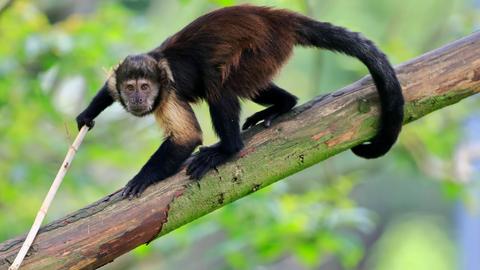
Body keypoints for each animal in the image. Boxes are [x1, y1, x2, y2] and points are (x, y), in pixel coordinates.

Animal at [77, 4, 404, 198]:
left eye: (145, 87)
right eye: (130, 87)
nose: (137, 98)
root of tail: (278, 17)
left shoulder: (167, 92)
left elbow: (187, 137)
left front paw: (142, 178)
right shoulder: (122, 77)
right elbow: (107, 89)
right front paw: (86, 115)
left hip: (264, 47)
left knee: (219, 86)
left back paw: (228, 149)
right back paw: (284, 104)